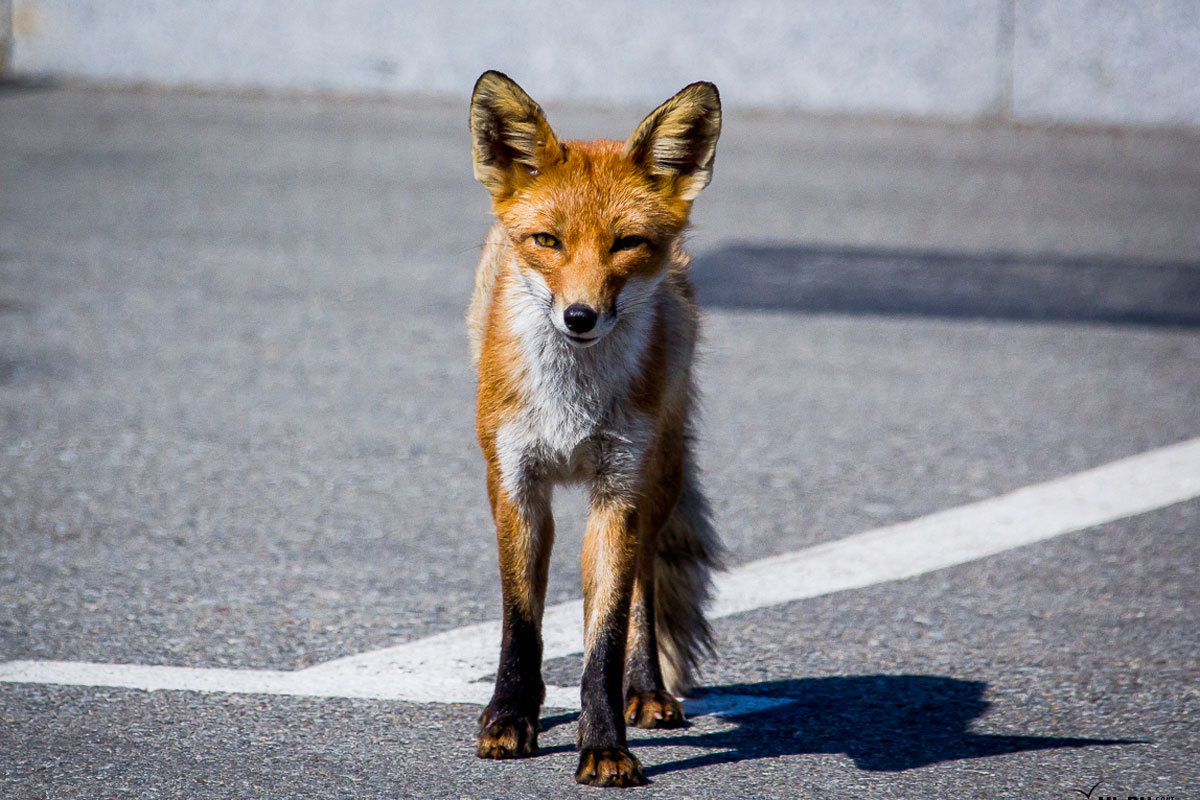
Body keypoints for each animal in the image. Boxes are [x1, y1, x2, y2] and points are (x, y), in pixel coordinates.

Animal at [463, 70, 715, 786]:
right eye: (547, 242)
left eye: (626, 244)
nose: (579, 317)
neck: (570, 406)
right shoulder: (515, 484)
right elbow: (521, 622)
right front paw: (509, 718)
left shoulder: (618, 493)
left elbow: (603, 638)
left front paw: (604, 745)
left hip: (659, 478)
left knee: (644, 585)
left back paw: (647, 689)